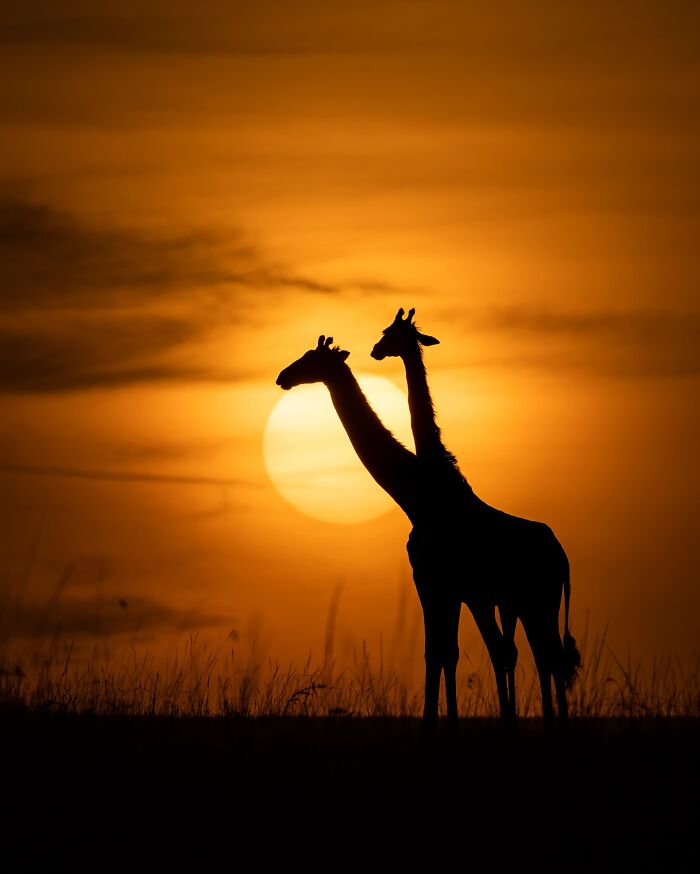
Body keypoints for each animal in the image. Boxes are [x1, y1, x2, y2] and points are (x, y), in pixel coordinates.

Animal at [371, 308, 581, 720]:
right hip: (535, 603)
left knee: (548, 657)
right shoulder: (472, 593)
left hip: (538, 601)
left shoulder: (450, 585)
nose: (375, 350)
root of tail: (563, 558)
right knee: (548, 657)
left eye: (392, 332)